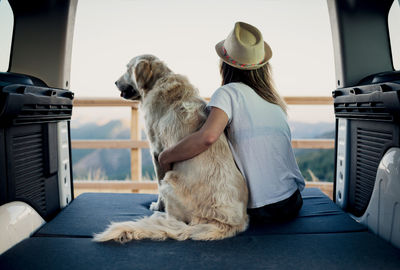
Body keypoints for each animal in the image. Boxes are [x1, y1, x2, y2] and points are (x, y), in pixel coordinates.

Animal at [95, 54, 248, 243]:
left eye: (128, 68)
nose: (115, 82)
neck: (159, 80)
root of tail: (225, 224)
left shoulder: (157, 151)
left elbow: (158, 185)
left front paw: (157, 206)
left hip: (170, 181)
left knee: (174, 218)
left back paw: (160, 217)